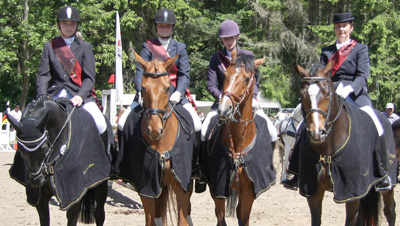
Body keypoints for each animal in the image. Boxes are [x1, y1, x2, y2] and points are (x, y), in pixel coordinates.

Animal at [6, 96, 112, 225]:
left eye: (44, 148)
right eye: (20, 150)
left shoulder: (73, 195)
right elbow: (44, 219)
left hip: (100, 185)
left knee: (99, 214)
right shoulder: (40, 199)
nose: (36, 180)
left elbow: (72, 218)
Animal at [203, 51, 276, 226]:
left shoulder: (248, 191)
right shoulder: (218, 189)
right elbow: (221, 219)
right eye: (225, 75)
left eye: (247, 79)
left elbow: (244, 219)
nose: (224, 109)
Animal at [294, 61, 396, 225]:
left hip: (387, 185)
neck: (327, 149)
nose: (317, 133)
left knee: (390, 211)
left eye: (327, 93)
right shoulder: (313, 191)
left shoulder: (351, 193)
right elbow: (316, 219)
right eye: (301, 95)